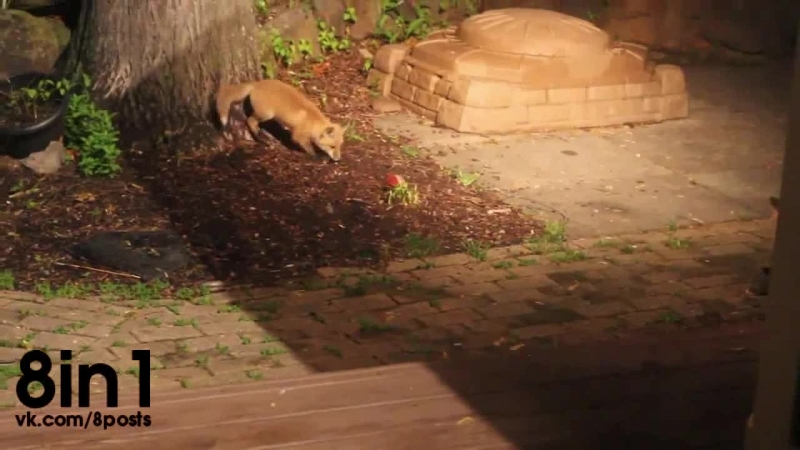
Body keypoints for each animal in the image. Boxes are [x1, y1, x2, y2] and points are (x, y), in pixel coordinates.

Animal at [215, 79, 344, 162]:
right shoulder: (298, 136)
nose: (338, 159)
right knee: (250, 121)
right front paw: (317, 157)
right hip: (266, 114)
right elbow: (309, 148)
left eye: (340, 146)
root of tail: (257, 83)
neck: (312, 121)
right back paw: (262, 139)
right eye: (332, 146)